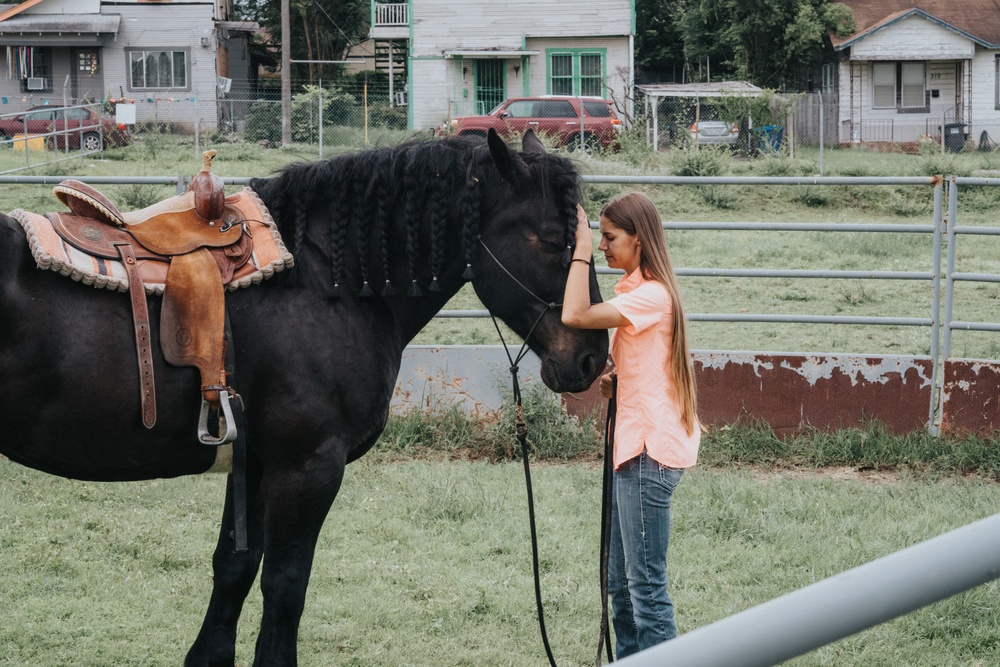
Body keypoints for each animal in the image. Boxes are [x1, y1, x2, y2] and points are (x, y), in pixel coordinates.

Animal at [0, 129, 608, 664]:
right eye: (552, 241)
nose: (592, 357)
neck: (325, 281)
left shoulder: (254, 462)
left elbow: (234, 568)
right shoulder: (307, 467)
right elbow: (285, 584)